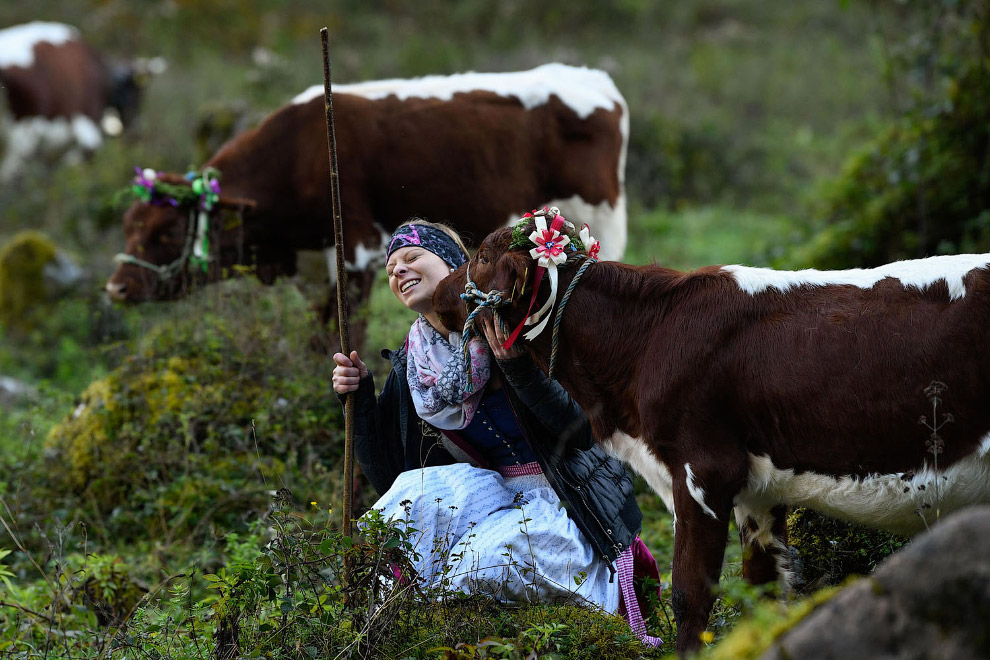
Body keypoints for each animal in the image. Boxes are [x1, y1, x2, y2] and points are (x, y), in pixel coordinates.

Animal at [108, 64, 632, 346]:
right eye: (129, 225)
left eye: (168, 232)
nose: (117, 287)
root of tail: (594, 81)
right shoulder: (312, 267)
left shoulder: (355, 249)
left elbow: (348, 333)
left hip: (598, 226)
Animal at [438, 218, 990, 656]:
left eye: (482, 256)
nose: (437, 295)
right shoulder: (759, 491)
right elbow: (763, 588)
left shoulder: (703, 468)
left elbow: (690, 594)